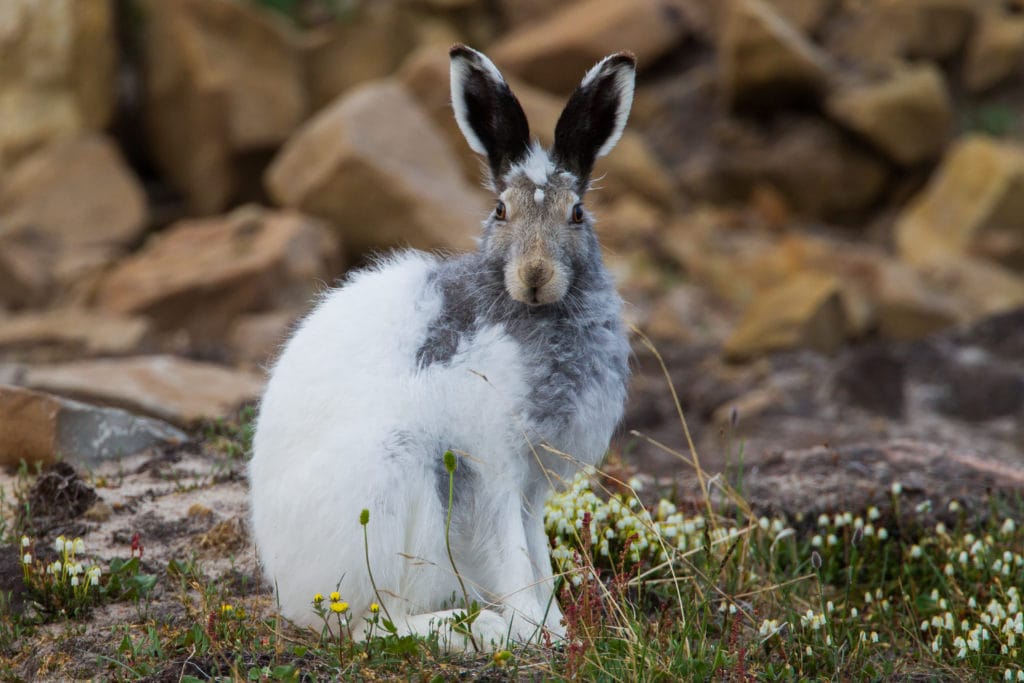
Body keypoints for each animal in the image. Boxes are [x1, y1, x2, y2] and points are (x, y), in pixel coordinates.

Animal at [249, 44, 635, 652]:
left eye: (576, 214)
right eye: (500, 211)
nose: (534, 275)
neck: (529, 311)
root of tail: (292, 587)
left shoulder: (531, 485)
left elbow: (537, 555)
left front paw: (555, 628)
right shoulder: (492, 464)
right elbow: (511, 554)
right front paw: (530, 631)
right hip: (400, 478)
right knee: (373, 625)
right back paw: (480, 630)